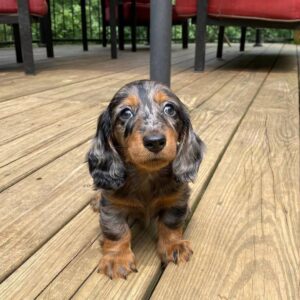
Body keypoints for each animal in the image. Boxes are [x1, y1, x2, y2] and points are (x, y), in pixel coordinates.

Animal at [86, 79, 204, 278]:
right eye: (126, 112)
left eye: (170, 109)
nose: (155, 141)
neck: (146, 175)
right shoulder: (112, 206)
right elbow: (117, 231)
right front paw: (117, 258)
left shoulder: (176, 200)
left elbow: (170, 223)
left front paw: (174, 245)